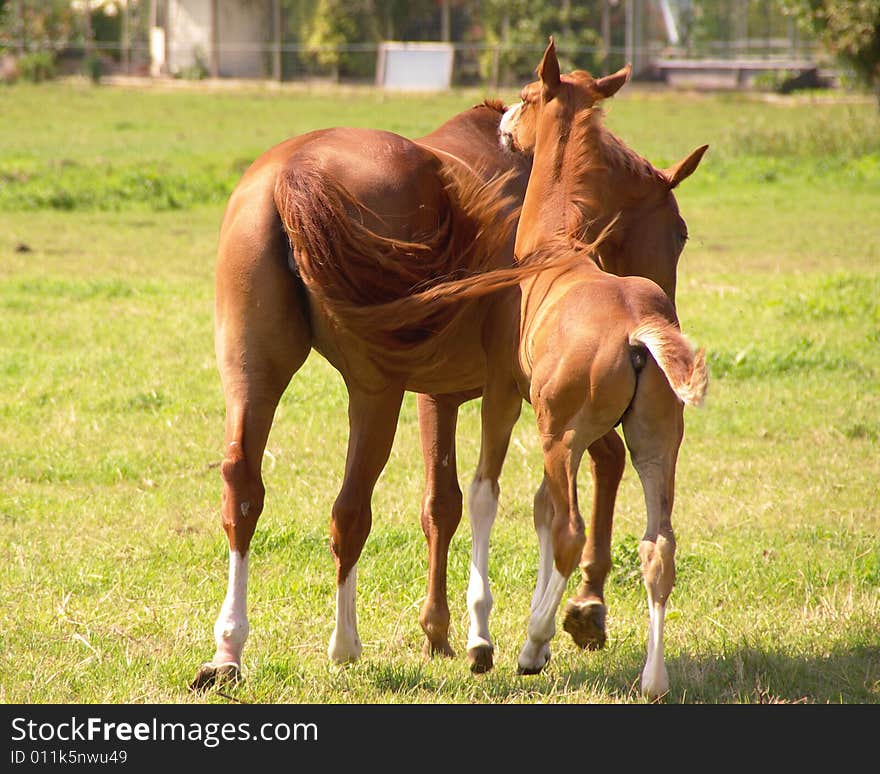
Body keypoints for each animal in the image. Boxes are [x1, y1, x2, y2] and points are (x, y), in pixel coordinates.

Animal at [194, 73, 708, 692]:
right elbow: (563, 481)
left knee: (246, 490)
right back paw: (347, 645)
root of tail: (293, 171)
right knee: (352, 509)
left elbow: (444, 504)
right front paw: (577, 610)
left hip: (254, 373)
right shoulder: (507, 395)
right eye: (680, 232)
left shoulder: (441, 393)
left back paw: (229, 650)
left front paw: (441, 632)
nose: (663, 308)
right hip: (376, 389)